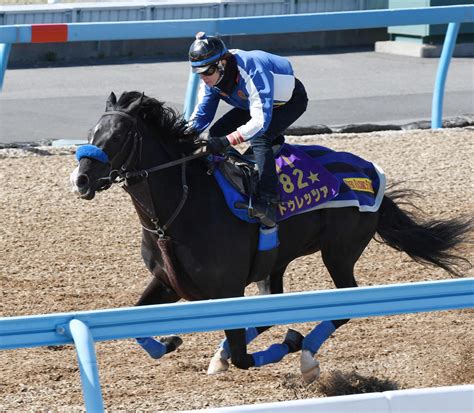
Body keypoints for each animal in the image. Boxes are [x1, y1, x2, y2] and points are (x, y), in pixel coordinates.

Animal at [70, 91, 470, 384]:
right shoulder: (167, 281)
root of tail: (371, 175)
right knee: (270, 310)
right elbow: (136, 326)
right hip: (277, 262)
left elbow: (246, 359)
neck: (176, 214)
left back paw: (306, 356)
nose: (81, 180)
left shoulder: (227, 290)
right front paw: (170, 342)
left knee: (344, 304)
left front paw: (289, 343)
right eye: (90, 133)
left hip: (339, 252)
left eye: (118, 136)